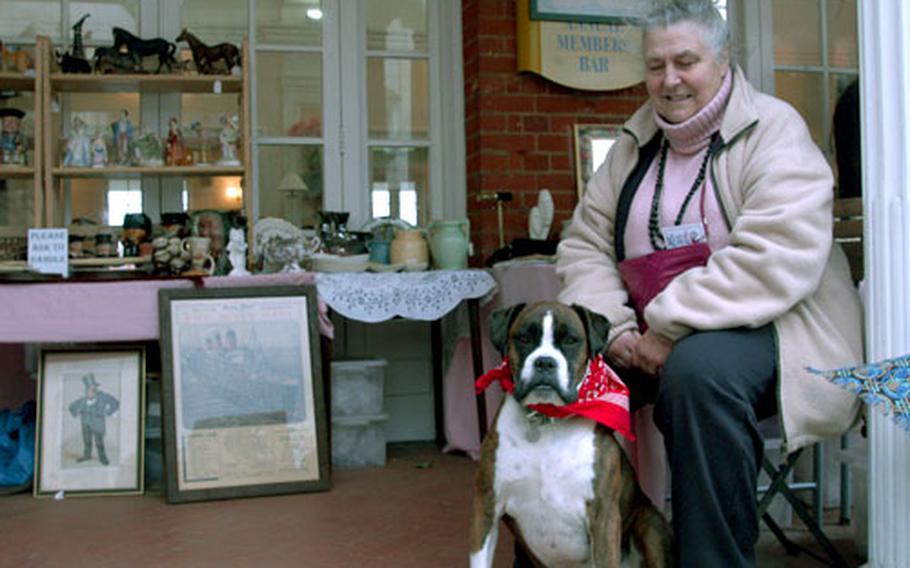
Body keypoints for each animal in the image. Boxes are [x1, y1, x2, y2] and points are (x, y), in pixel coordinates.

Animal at [470, 300, 668, 564]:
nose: (544, 362)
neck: (546, 420)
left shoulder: (603, 516)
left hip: (650, 524)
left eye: (571, 340)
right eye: (524, 338)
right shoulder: (486, 508)